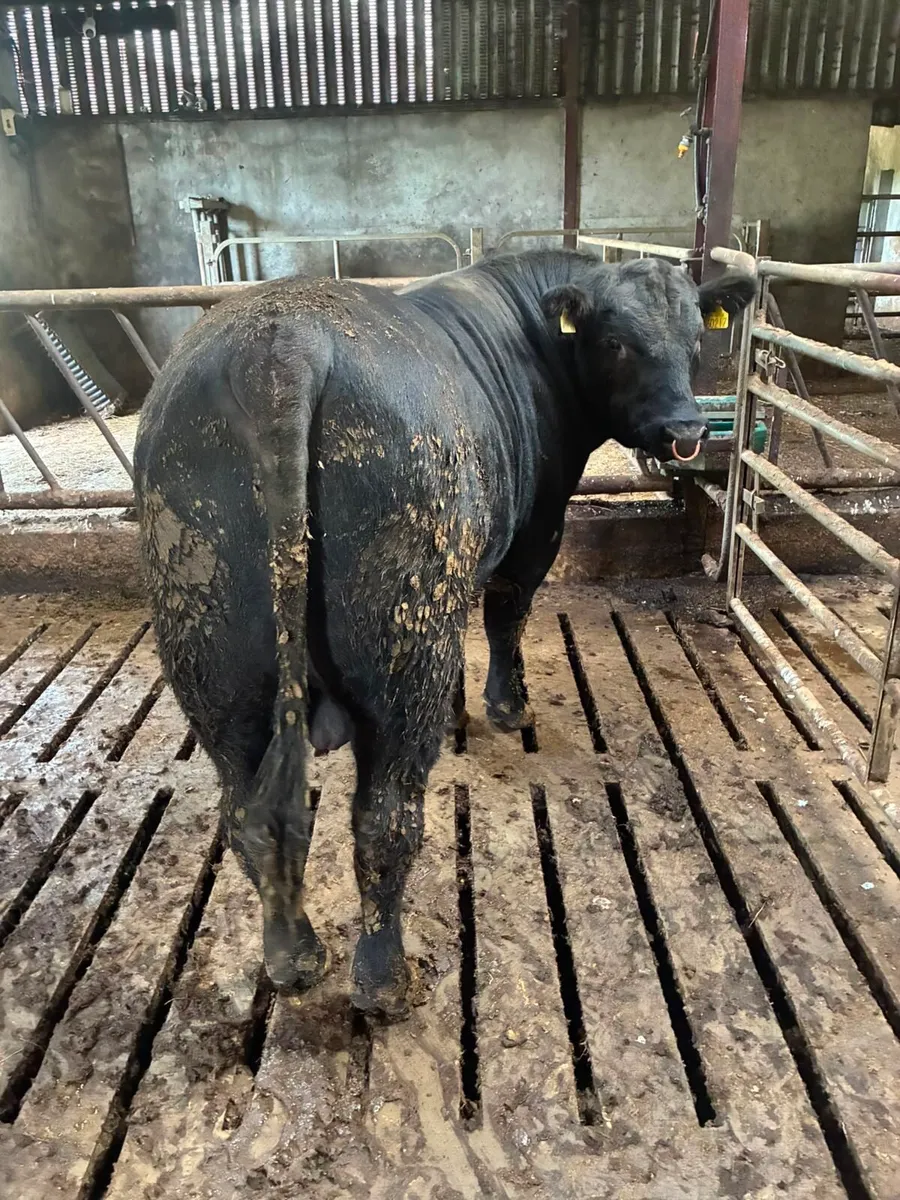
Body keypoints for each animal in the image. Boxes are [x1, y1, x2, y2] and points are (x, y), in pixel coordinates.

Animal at [134, 249, 754, 1019]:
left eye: (696, 340)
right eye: (615, 342)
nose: (686, 429)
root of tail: (280, 345)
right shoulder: (538, 525)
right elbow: (507, 613)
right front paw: (506, 707)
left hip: (214, 659)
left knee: (250, 816)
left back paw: (294, 957)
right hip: (401, 647)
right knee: (385, 820)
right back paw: (383, 981)